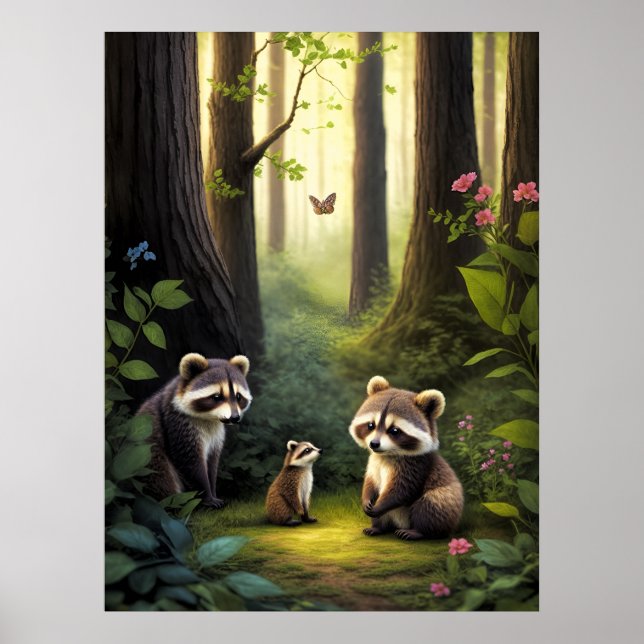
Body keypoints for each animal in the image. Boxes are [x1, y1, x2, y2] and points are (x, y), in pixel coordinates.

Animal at [138, 352, 252, 509]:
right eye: (217, 396)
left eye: (238, 396)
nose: (235, 418)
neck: (209, 417)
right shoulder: (177, 424)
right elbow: (190, 462)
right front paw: (207, 497)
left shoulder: (216, 433)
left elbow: (212, 463)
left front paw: (213, 492)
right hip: (150, 458)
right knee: (162, 475)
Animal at [348, 376, 464, 540]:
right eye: (371, 425)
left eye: (394, 430)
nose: (374, 444)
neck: (387, 454)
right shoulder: (374, 462)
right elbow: (371, 482)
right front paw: (366, 499)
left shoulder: (415, 465)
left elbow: (401, 489)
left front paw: (380, 505)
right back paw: (377, 527)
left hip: (446, 501)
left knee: (430, 506)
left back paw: (418, 531)